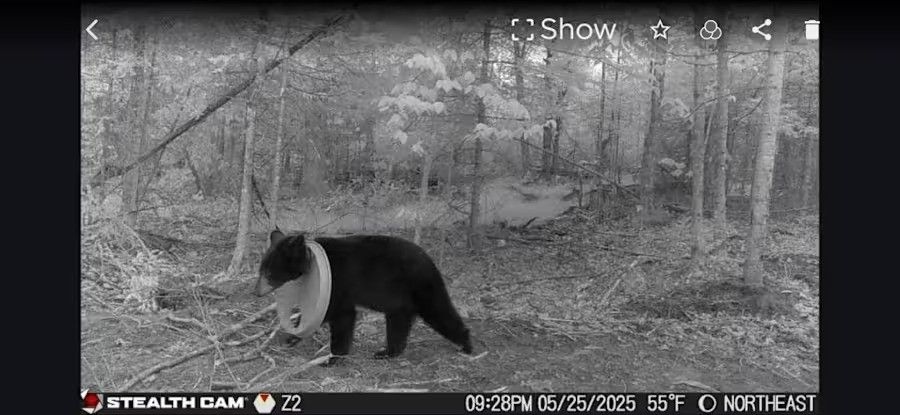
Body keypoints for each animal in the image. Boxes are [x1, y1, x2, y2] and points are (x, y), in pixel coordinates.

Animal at [256, 230, 473, 364]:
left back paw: (466, 345)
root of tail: (429, 260)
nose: (255, 291)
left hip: (421, 287)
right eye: (261, 270)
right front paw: (291, 337)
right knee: (398, 324)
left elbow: (341, 317)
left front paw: (333, 357)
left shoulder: (338, 284)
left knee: (439, 311)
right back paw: (387, 352)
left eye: (269, 273)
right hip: (400, 302)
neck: (311, 263)